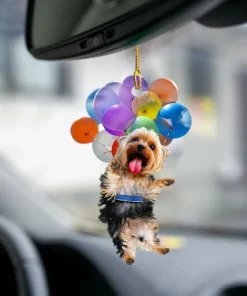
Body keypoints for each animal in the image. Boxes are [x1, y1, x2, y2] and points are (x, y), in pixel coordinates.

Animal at [97, 128, 175, 264]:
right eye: (134, 140)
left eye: (152, 146)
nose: (140, 146)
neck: (132, 175)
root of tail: (135, 234)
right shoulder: (110, 190)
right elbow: (112, 178)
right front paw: (114, 164)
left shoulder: (146, 191)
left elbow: (153, 186)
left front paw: (167, 181)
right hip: (119, 229)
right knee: (125, 245)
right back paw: (129, 258)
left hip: (148, 229)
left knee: (150, 243)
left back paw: (161, 249)